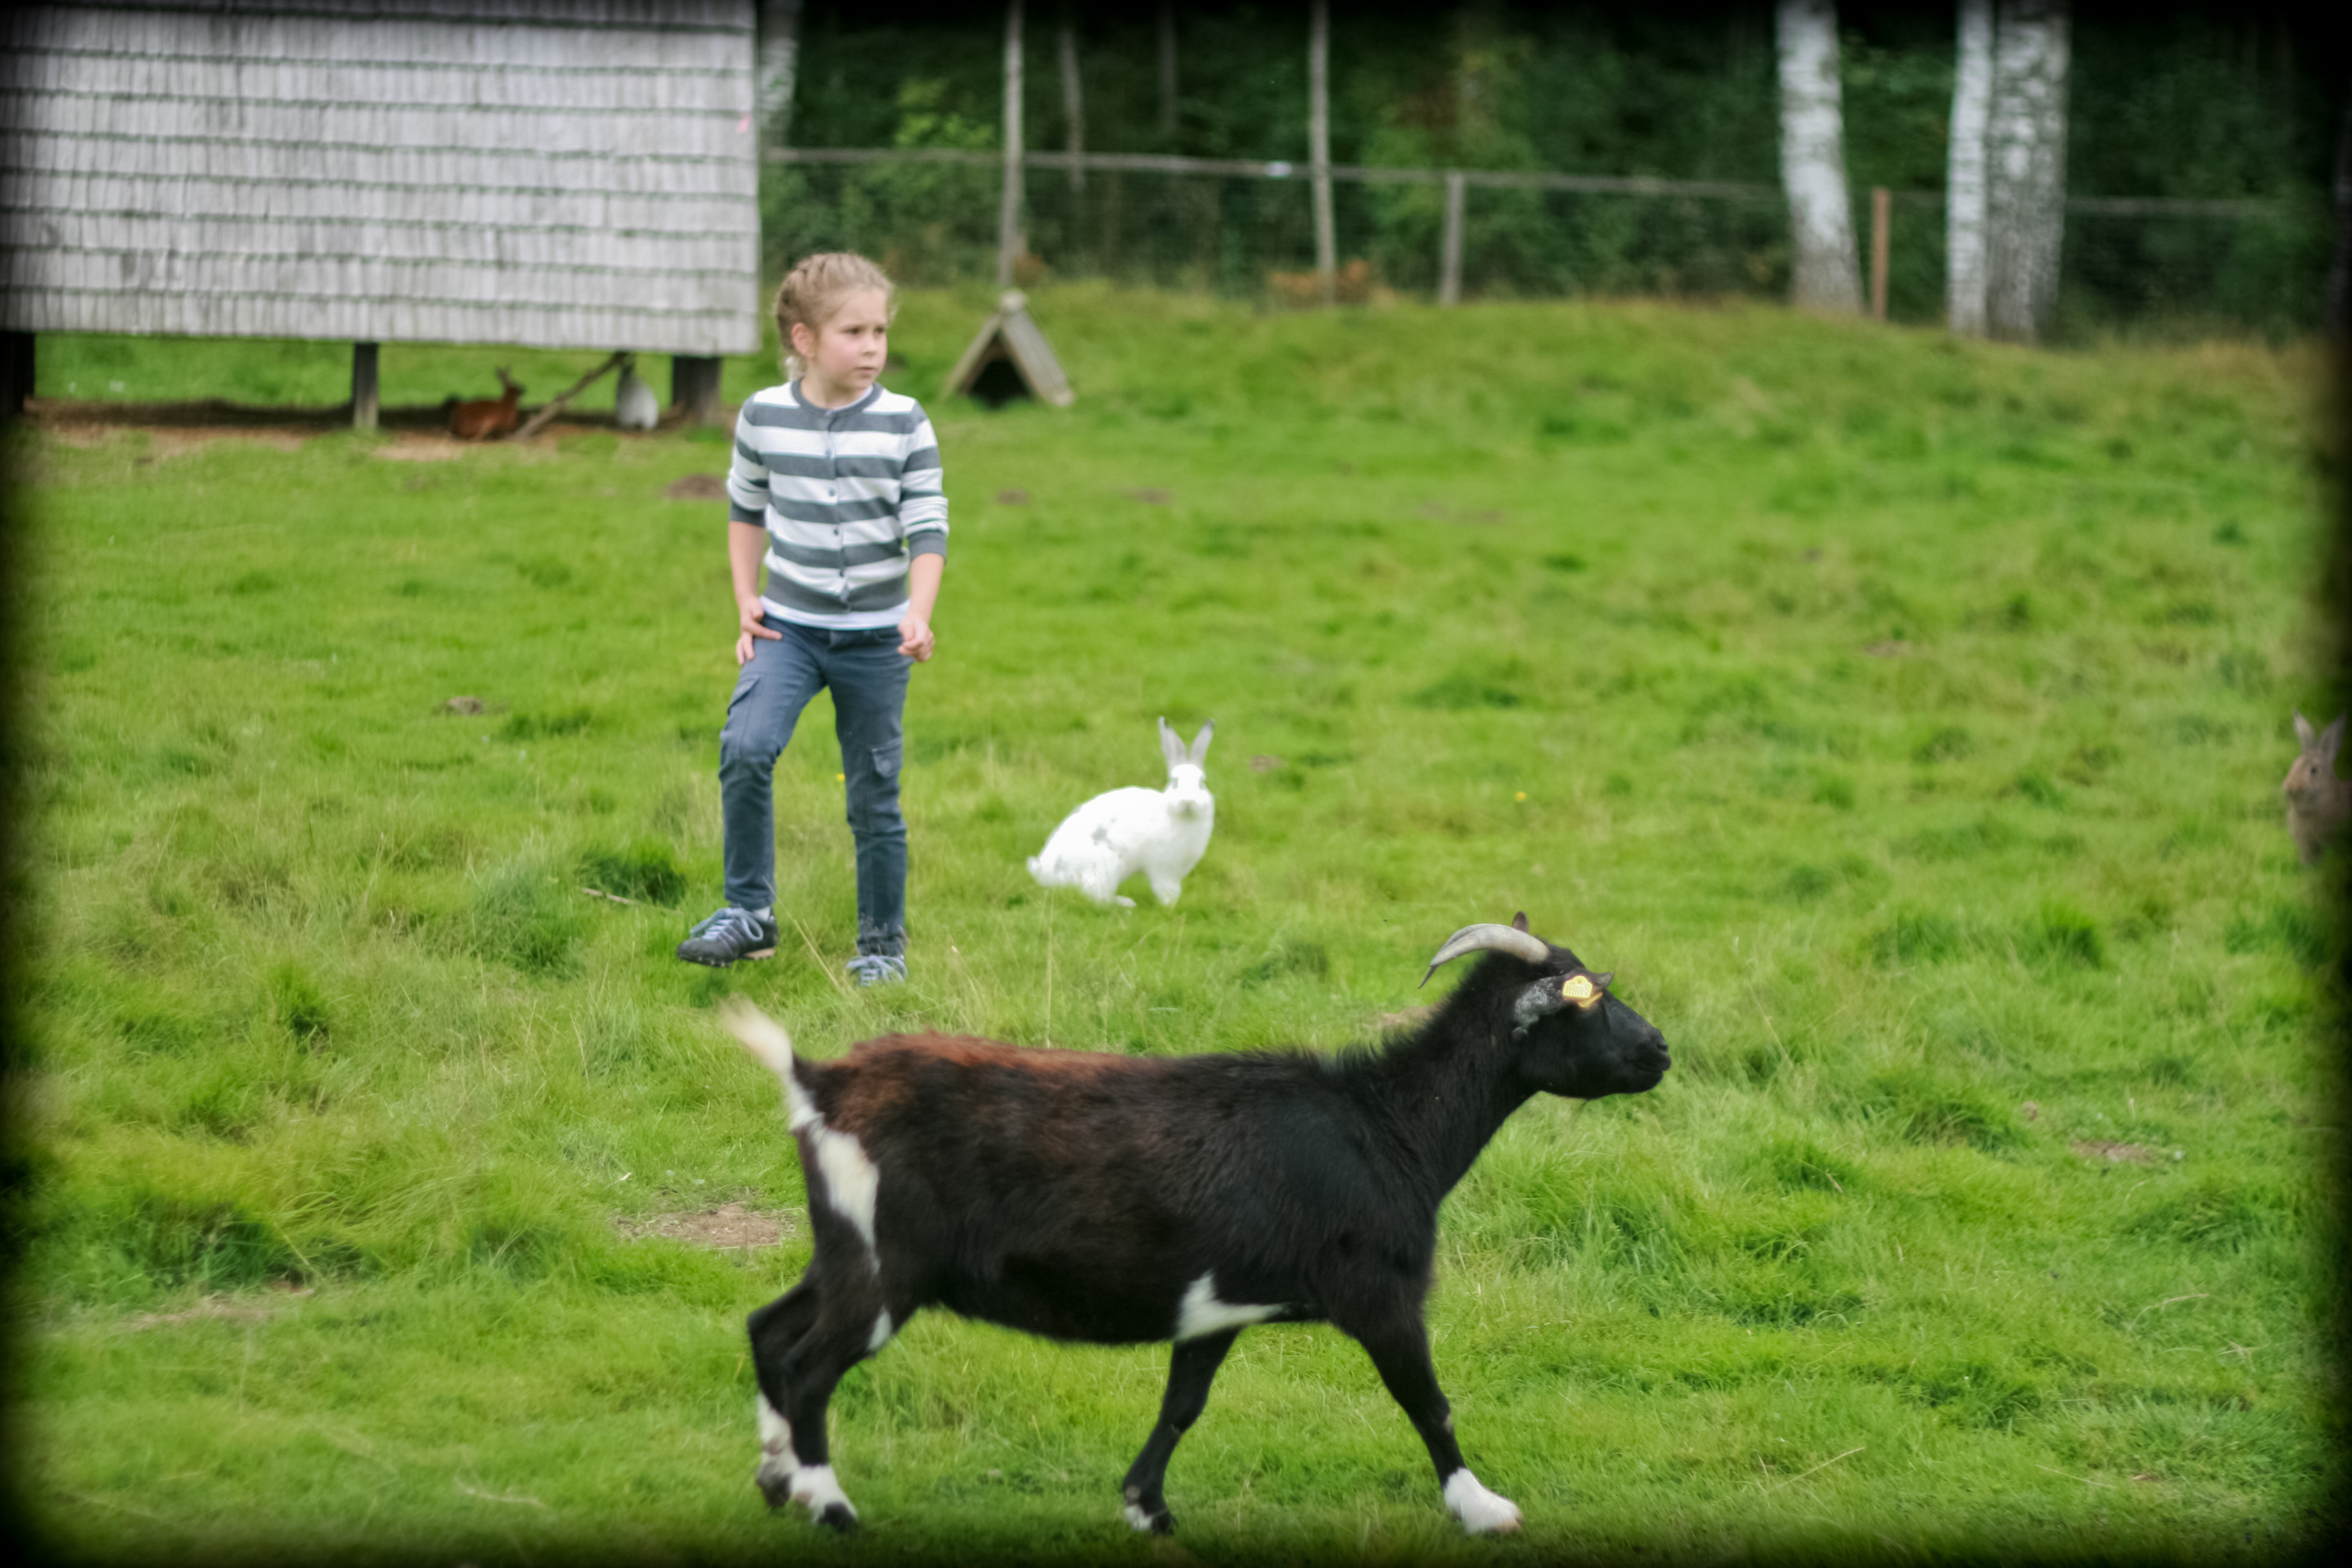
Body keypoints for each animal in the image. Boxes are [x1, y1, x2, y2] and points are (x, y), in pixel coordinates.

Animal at [720, 914, 1672, 1537]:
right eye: (1583, 1001)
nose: (1659, 1050)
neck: (1387, 1126)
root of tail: (819, 1083)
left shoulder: (1216, 1307)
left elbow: (1184, 1404)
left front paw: (1146, 1507)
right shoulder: (1381, 1295)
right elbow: (1427, 1402)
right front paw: (1485, 1509)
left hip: (847, 1250)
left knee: (769, 1330)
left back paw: (774, 1478)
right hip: (890, 1268)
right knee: (808, 1366)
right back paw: (831, 1507)